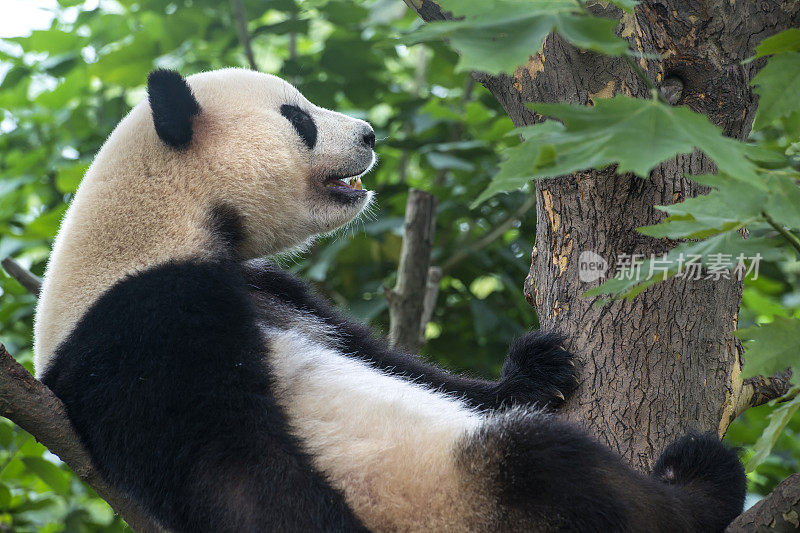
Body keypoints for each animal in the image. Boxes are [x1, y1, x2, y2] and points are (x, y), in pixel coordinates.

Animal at [31, 68, 744, 528]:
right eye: (299, 118)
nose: (370, 133)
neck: (162, 225)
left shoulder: (273, 287)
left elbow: (390, 359)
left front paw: (536, 368)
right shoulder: (138, 324)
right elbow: (230, 468)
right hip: (450, 496)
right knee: (543, 463)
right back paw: (698, 484)